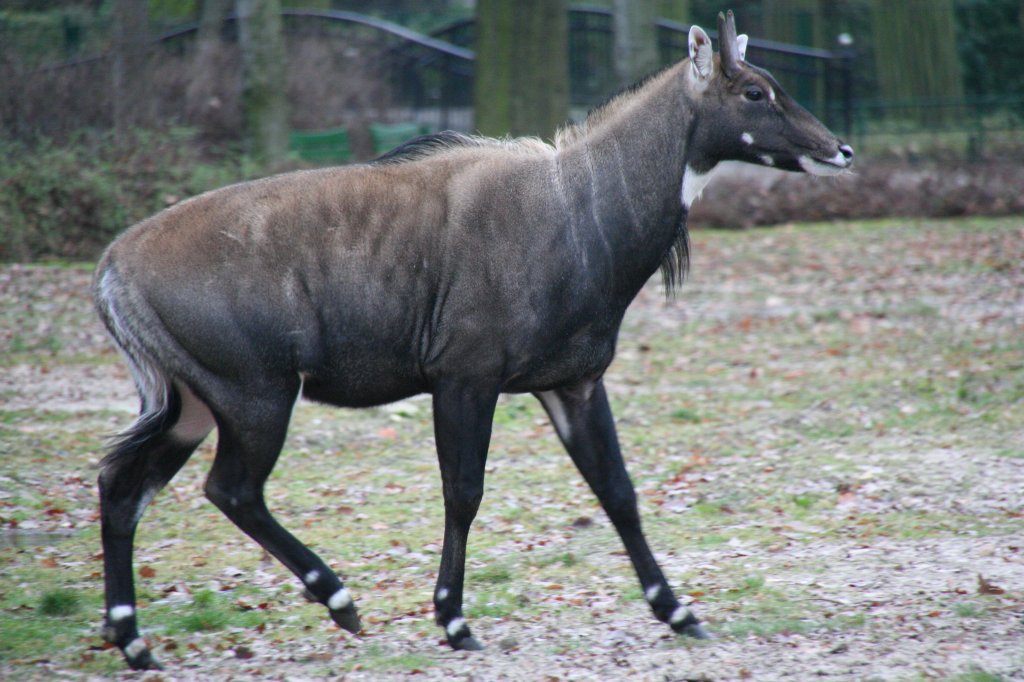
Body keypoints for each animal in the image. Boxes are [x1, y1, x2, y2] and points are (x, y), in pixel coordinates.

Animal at [96, 11, 847, 667]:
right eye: (753, 90)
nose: (839, 149)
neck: (579, 209)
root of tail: (111, 269)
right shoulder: (465, 377)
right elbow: (464, 491)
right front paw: (454, 621)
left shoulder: (573, 382)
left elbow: (618, 490)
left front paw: (680, 611)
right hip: (257, 395)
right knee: (231, 490)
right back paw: (338, 600)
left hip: (195, 404)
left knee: (123, 484)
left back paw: (134, 641)